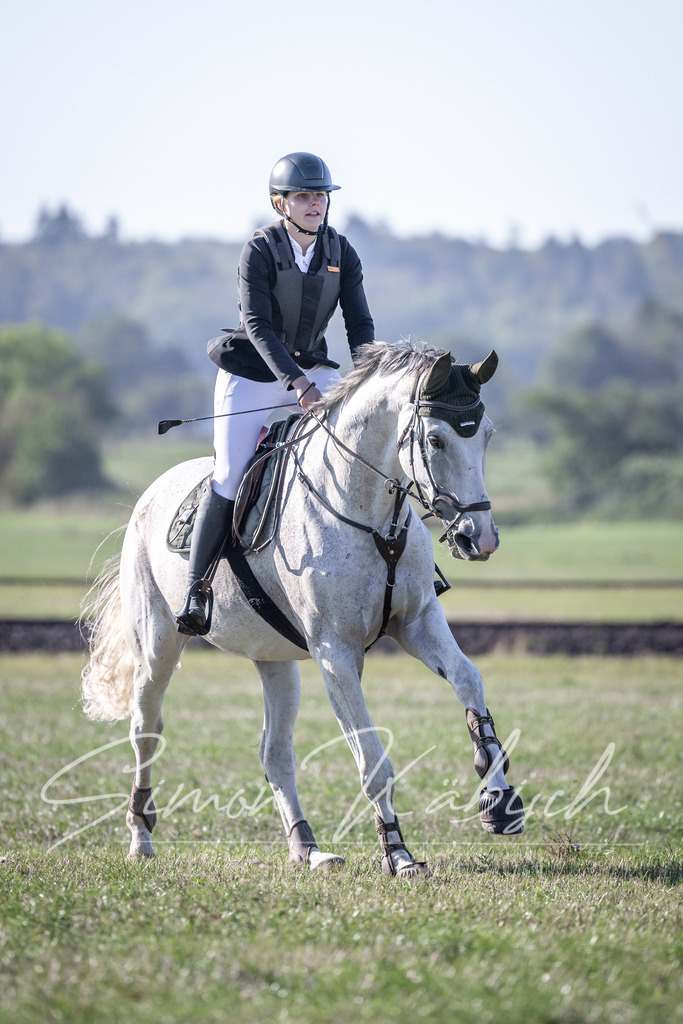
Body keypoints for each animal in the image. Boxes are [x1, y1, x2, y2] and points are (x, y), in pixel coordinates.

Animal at [81, 341, 524, 877]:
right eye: (436, 440)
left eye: (488, 435)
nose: (481, 539)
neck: (368, 513)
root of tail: (151, 492)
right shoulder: (336, 652)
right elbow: (372, 760)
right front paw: (397, 854)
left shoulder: (417, 623)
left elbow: (468, 681)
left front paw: (499, 800)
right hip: (159, 646)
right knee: (146, 730)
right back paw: (141, 838)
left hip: (275, 659)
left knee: (274, 753)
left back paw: (307, 848)